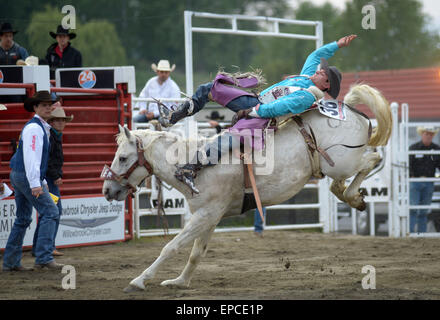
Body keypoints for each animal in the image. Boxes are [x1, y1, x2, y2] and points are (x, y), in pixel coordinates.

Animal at [101, 84, 390, 292]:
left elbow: (171, 247)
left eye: (123, 158)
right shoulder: (209, 216)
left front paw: (139, 281)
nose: (107, 190)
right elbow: (196, 253)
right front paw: (179, 282)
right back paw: (349, 195)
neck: (191, 162)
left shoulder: (205, 215)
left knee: (373, 159)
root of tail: (350, 109)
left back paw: (353, 196)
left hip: (343, 162)